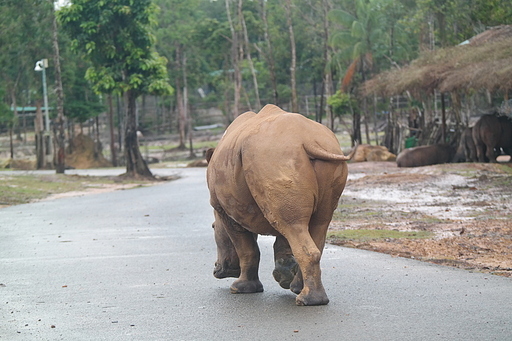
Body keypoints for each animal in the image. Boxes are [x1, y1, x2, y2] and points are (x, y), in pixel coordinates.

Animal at [205, 103, 356, 306]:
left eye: (213, 227)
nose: (216, 269)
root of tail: (310, 140)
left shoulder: (224, 210)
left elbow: (246, 248)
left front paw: (240, 288)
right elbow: (281, 241)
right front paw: (284, 277)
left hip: (273, 158)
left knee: (293, 225)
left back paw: (306, 301)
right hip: (300, 159)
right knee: (315, 223)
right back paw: (302, 292)